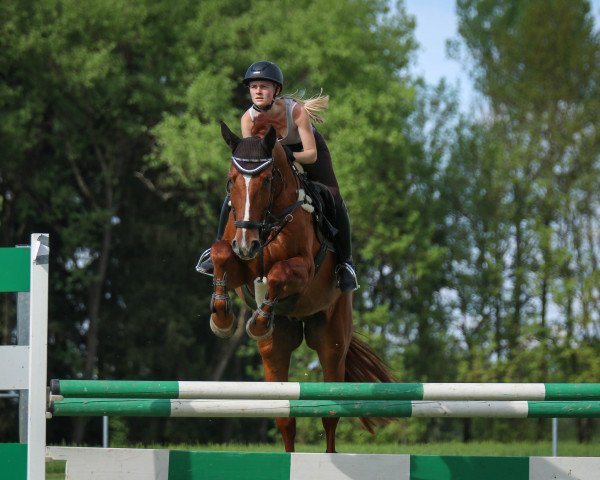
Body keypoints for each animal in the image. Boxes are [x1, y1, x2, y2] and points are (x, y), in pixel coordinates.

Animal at [209, 122, 396, 452]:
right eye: (231, 181)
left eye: (267, 180)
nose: (246, 245)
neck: (267, 223)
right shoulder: (240, 264)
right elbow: (221, 255)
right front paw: (222, 318)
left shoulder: (304, 270)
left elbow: (279, 274)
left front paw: (258, 320)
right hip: (277, 347)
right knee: (285, 417)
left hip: (332, 341)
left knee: (330, 415)